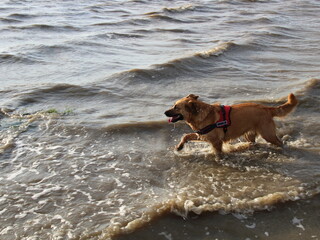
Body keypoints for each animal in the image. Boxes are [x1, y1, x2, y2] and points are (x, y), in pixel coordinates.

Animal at [165, 93, 298, 155]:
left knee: (279, 142)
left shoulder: (215, 141)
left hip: (267, 134)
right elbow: (186, 136)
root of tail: (266, 108)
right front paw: (179, 146)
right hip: (249, 134)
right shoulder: (203, 134)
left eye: (176, 107)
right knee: (253, 142)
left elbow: (218, 153)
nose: (164, 112)